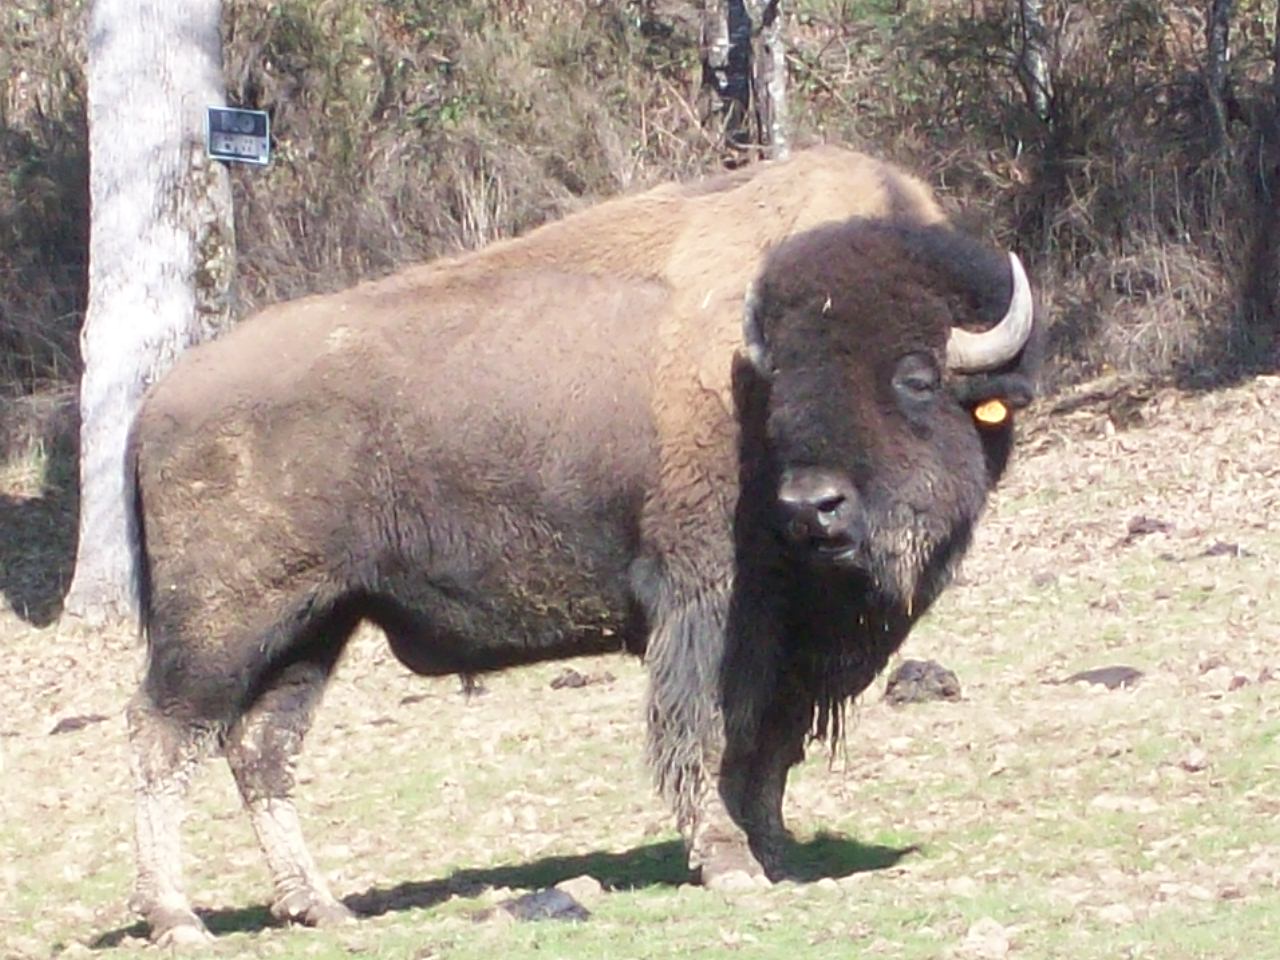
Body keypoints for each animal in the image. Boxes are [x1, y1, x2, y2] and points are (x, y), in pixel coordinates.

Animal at [123, 146, 1039, 945]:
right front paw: (730, 862)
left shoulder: (798, 641)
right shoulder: (707, 607)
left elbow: (772, 745)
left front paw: (775, 851)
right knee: (162, 735)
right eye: (780, 389)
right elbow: (710, 732)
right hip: (224, 626)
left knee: (259, 748)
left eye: (916, 376)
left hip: (315, 626)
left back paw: (320, 907)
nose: (812, 506)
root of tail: (154, 406)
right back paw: (180, 919)